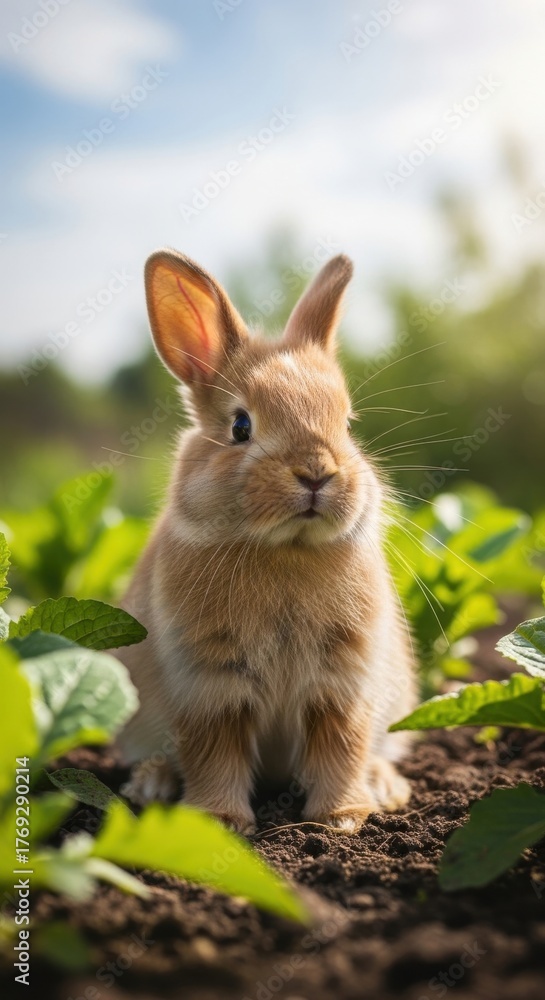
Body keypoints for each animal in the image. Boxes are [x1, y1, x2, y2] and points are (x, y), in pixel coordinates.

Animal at [115, 247, 417, 834]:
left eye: (348, 424)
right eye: (241, 427)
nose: (317, 472)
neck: (286, 549)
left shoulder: (343, 678)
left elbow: (341, 745)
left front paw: (344, 818)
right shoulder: (210, 682)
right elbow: (214, 751)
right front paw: (220, 821)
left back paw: (387, 788)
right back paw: (152, 784)